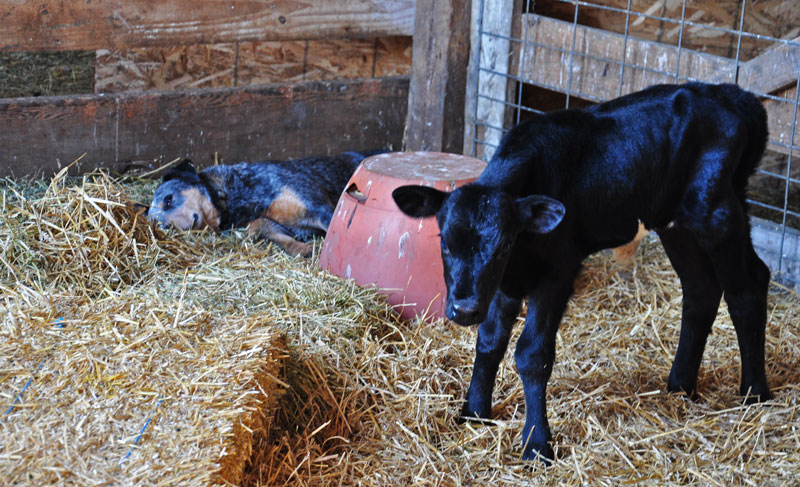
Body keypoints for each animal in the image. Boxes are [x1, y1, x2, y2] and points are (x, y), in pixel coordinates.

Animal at [391, 82, 771, 463]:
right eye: (444, 242)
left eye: (503, 246)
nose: (465, 309)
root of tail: (734, 95)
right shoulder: (502, 284)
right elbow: (489, 341)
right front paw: (474, 412)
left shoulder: (557, 273)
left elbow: (532, 354)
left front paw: (537, 444)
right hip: (675, 221)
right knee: (701, 289)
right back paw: (680, 386)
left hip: (716, 209)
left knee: (748, 285)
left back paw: (754, 392)